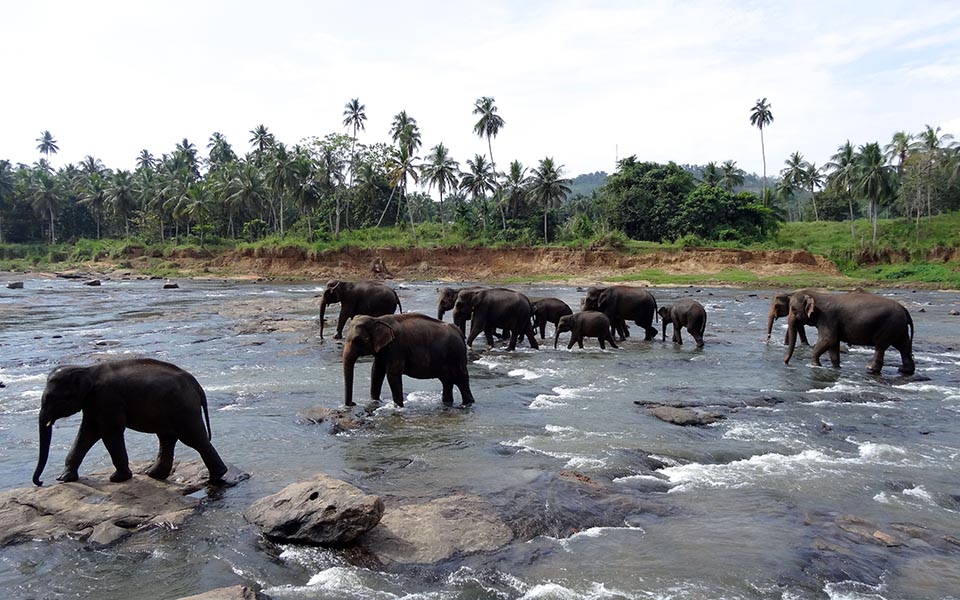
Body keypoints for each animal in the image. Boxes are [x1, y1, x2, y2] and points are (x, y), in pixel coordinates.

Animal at [32, 358, 227, 486]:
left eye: (50, 399)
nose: (40, 482)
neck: (87, 369)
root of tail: (197, 386)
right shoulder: (93, 403)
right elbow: (87, 432)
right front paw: (63, 479)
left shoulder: (107, 399)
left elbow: (108, 432)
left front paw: (117, 479)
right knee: (167, 438)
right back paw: (154, 475)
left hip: (183, 408)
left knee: (193, 438)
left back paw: (217, 477)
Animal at [342, 314, 475, 407]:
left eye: (358, 340)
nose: (353, 403)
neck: (377, 319)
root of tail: (459, 332)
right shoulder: (383, 349)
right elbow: (376, 371)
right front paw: (375, 402)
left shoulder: (396, 347)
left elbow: (392, 374)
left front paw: (398, 407)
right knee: (447, 382)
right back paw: (447, 403)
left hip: (456, 355)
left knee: (461, 381)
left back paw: (467, 404)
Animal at [783, 289, 915, 375]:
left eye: (793, 309)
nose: (785, 362)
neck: (817, 295)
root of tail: (905, 310)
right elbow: (833, 344)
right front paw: (836, 367)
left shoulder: (827, 318)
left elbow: (828, 339)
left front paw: (816, 365)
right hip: (899, 327)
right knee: (903, 346)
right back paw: (905, 371)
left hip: (889, 326)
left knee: (881, 346)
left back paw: (870, 369)